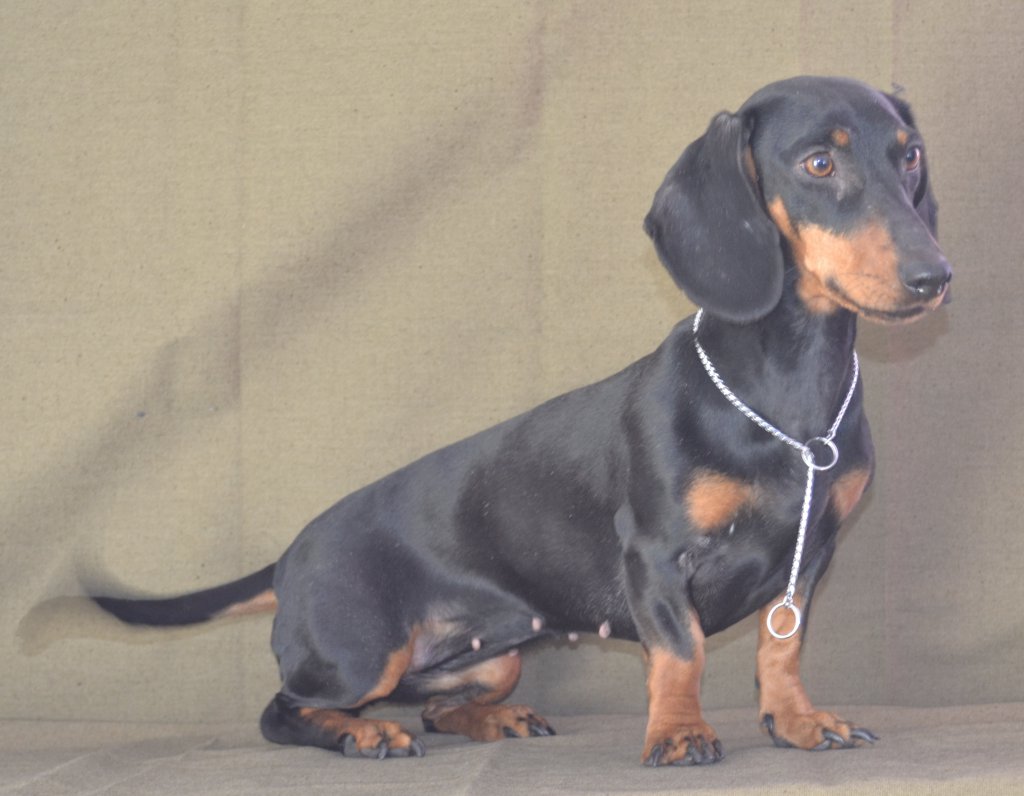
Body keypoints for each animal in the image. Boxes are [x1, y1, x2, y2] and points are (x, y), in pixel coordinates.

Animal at [94, 76, 951, 766]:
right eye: (818, 164)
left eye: (909, 156)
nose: (934, 276)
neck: (786, 399)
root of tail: (289, 555)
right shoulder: (656, 555)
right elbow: (683, 653)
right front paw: (677, 732)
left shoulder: (808, 562)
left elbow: (783, 650)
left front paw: (798, 722)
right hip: (360, 655)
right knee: (287, 710)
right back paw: (363, 734)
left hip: (491, 656)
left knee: (440, 706)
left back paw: (492, 720)